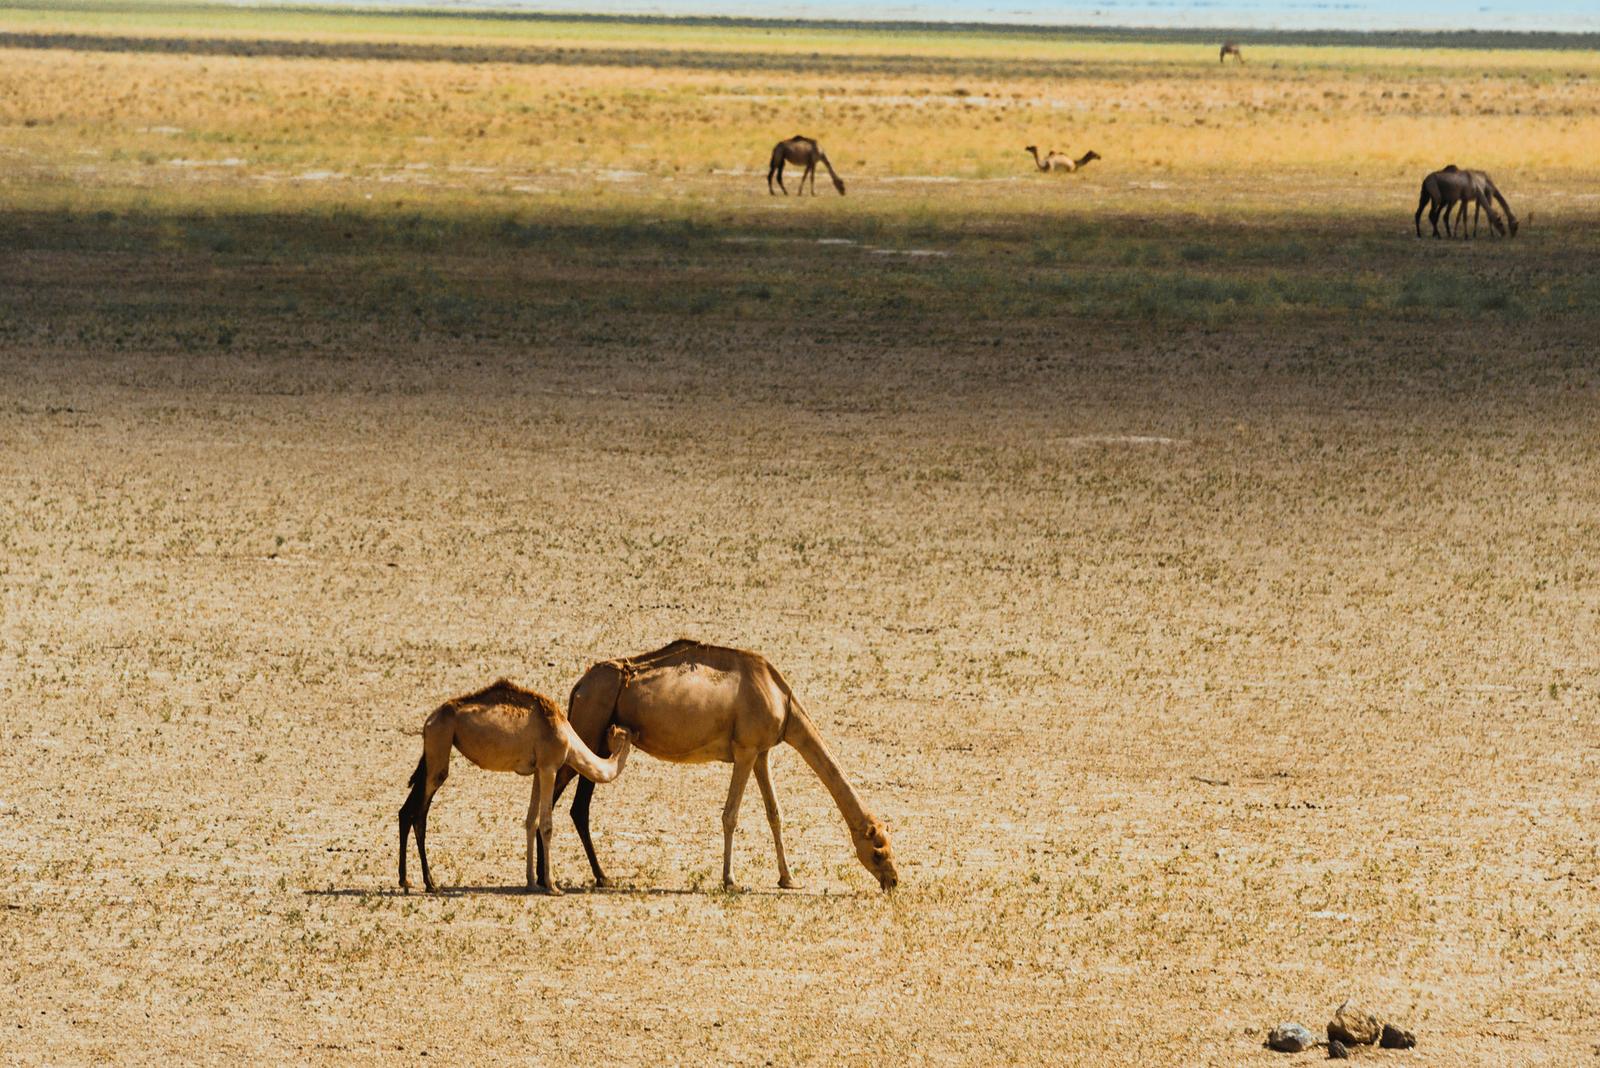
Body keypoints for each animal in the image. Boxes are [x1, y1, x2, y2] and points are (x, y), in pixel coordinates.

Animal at [393, 681, 630, 895]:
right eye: (624, 734)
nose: (633, 733)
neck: (569, 739)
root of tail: (429, 721)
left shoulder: (537, 771)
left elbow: (530, 821)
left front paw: (531, 882)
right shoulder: (549, 766)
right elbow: (546, 825)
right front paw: (552, 886)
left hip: (433, 752)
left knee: (407, 811)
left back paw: (410, 880)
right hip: (440, 745)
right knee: (419, 813)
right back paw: (426, 883)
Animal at [544, 642, 902, 895]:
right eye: (878, 851)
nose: (894, 881)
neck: (783, 702)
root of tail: (579, 686)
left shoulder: (761, 753)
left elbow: (775, 813)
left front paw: (788, 879)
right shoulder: (745, 750)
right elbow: (731, 815)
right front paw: (731, 880)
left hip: (599, 740)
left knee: (578, 807)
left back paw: (600, 876)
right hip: (588, 726)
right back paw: (546, 881)